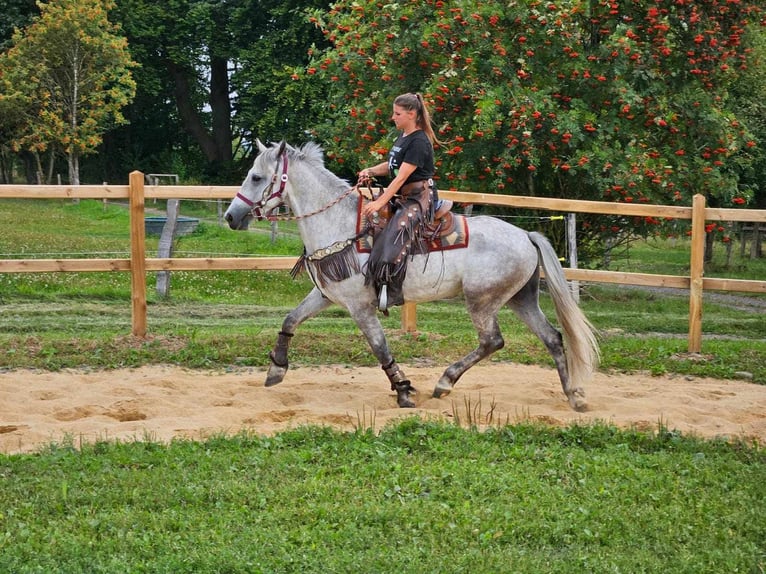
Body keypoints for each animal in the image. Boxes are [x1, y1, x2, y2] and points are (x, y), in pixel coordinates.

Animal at [225, 143, 604, 414]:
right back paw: (575, 396)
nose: (231, 216)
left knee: (492, 341)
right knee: (553, 338)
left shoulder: (360, 306)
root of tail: (526, 235)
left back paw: (445, 383)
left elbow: (380, 347)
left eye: (256, 177)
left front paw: (404, 391)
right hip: (520, 299)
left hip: (482, 301)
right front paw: (276, 369)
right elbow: (290, 319)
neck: (341, 224)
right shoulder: (328, 295)